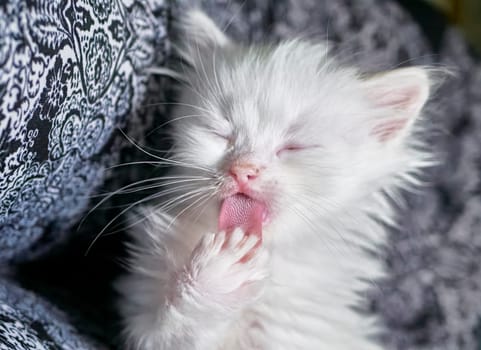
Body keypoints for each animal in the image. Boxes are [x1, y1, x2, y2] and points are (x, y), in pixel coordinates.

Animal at [118, 9, 434, 348]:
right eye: (221, 134)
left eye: (294, 147)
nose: (243, 169)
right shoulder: (144, 327)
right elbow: (177, 324)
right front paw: (218, 277)